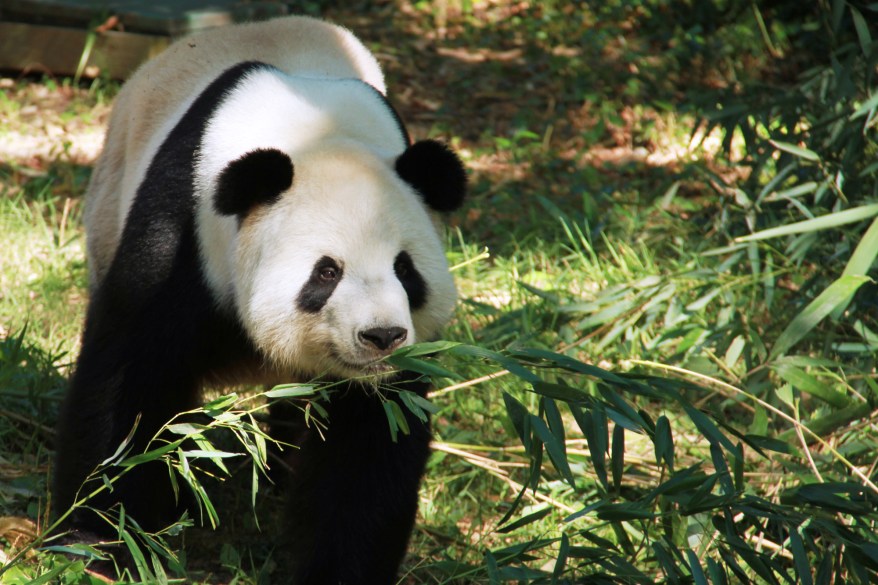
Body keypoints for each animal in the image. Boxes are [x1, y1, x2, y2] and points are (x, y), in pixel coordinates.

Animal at [52, 14, 468, 584]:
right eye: (327, 272)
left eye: (405, 270)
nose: (381, 336)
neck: (317, 132)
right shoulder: (185, 231)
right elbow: (129, 377)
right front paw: (96, 536)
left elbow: (374, 439)